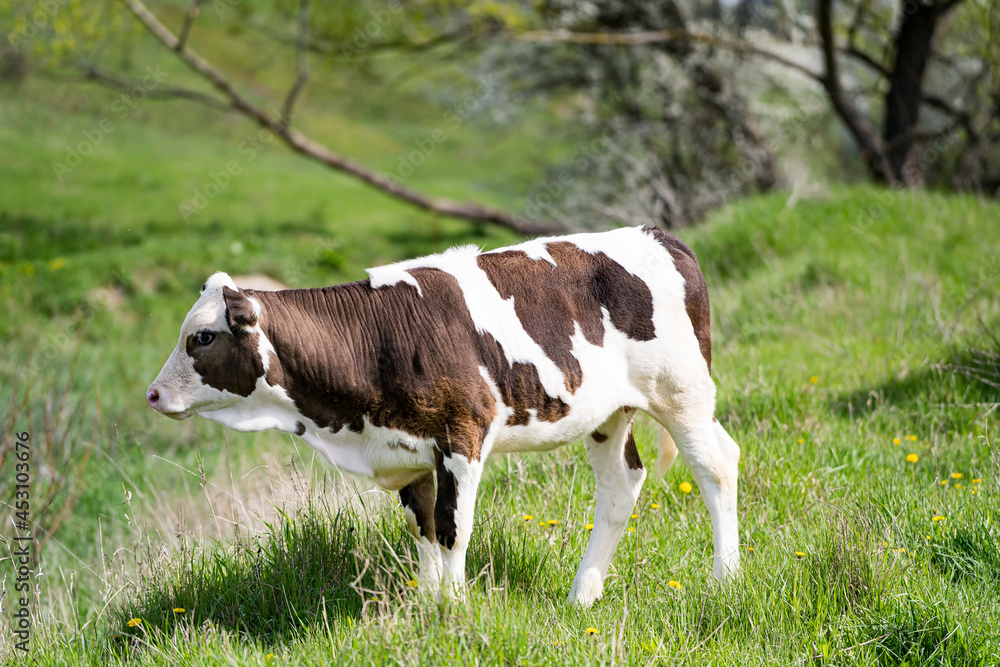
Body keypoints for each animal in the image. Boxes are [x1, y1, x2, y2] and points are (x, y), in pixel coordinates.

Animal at [150, 227, 744, 608]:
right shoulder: (409, 455)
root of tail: (659, 235)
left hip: (682, 392)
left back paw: (726, 581)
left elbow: (454, 529)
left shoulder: (462, 436)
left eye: (202, 337)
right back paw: (582, 596)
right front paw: (432, 609)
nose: (153, 394)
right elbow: (425, 529)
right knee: (622, 486)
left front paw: (457, 611)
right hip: (610, 412)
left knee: (716, 466)